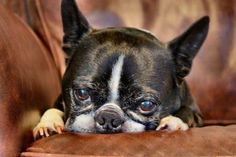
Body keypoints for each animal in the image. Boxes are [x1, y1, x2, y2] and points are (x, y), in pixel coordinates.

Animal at [32, 0, 208, 137]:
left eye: (146, 105)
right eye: (82, 93)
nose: (109, 117)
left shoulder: (197, 114)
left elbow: (187, 111)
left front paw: (173, 120)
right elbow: (52, 109)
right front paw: (49, 123)